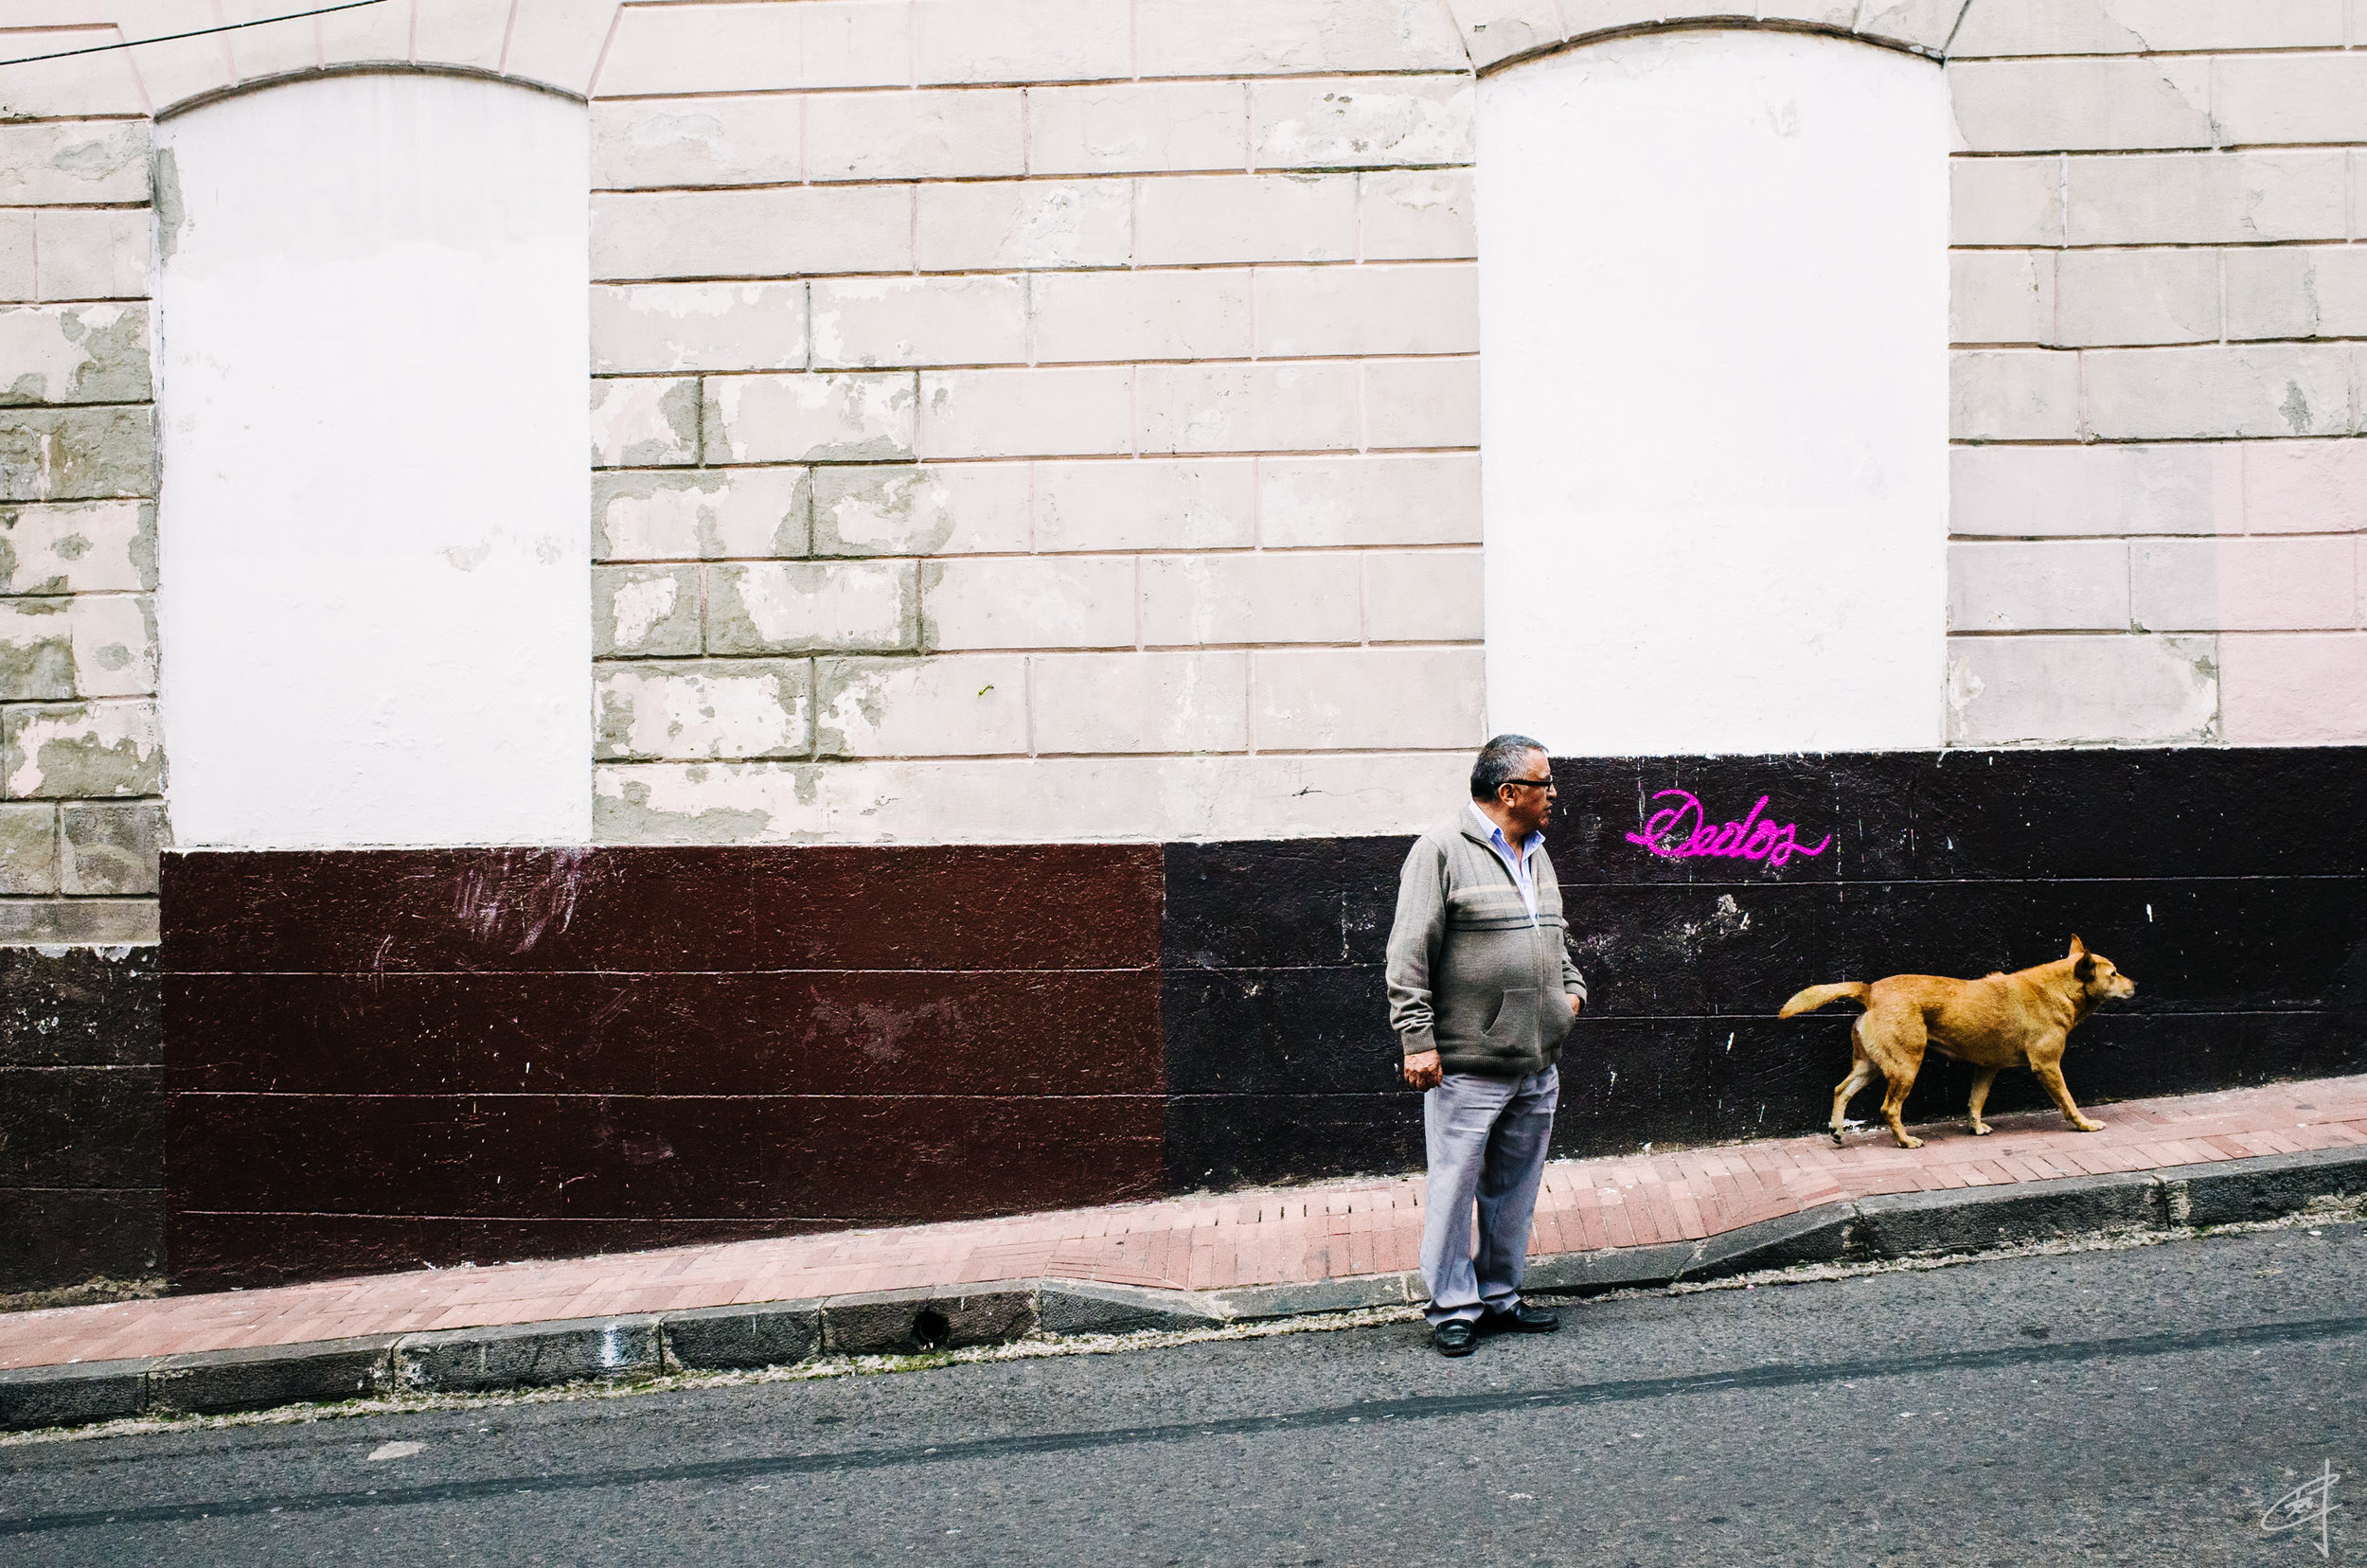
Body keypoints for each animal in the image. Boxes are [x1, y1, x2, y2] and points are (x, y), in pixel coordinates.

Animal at [1780, 937, 2149, 1150]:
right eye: (2114, 973)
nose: (2137, 983)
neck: (2059, 989)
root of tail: (1870, 990)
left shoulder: (1987, 1068)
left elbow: (1975, 1101)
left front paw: (1975, 1127)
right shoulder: (2047, 1066)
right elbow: (2068, 1101)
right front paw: (2084, 1124)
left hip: (1870, 1065)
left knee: (1841, 1090)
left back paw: (1837, 1130)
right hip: (1905, 1066)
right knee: (1889, 1109)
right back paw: (1905, 1141)